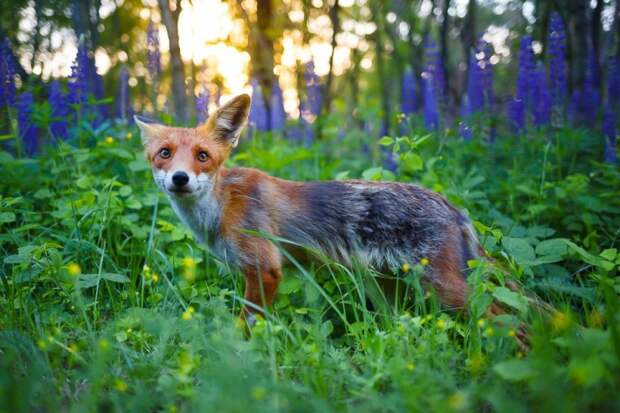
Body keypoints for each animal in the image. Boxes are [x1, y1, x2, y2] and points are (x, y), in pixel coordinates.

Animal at [136, 93, 490, 326]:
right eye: (165, 154)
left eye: (203, 156)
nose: (180, 178)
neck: (221, 207)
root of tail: (450, 204)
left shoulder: (264, 269)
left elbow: (245, 327)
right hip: (387, 289)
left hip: (444, 288)